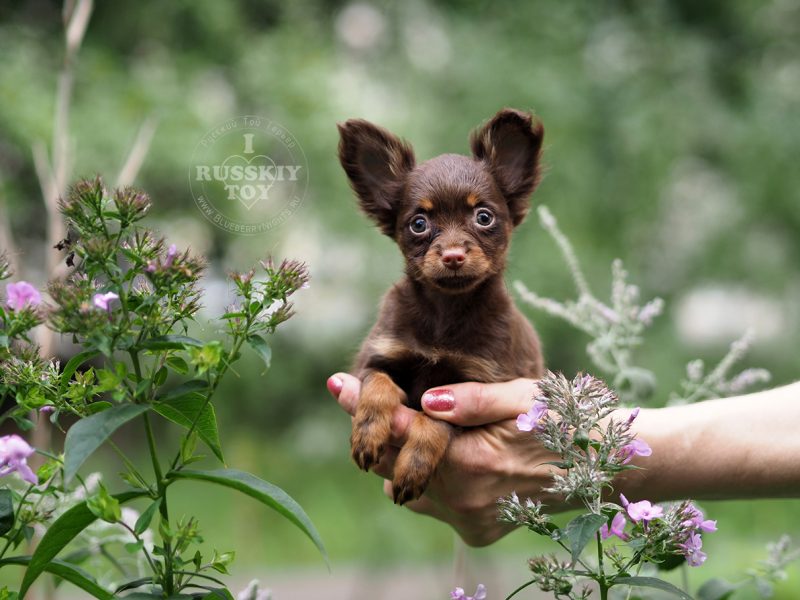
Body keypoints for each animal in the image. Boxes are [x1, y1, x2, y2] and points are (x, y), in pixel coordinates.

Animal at [334, 109, 548, 506]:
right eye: (419, 224)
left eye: (483, 217)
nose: (452, 256)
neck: (445, 311)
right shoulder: (375, 358)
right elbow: (378, 384)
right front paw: (368, 434)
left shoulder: (470, 388)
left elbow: (436, 418)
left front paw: (413, 467)